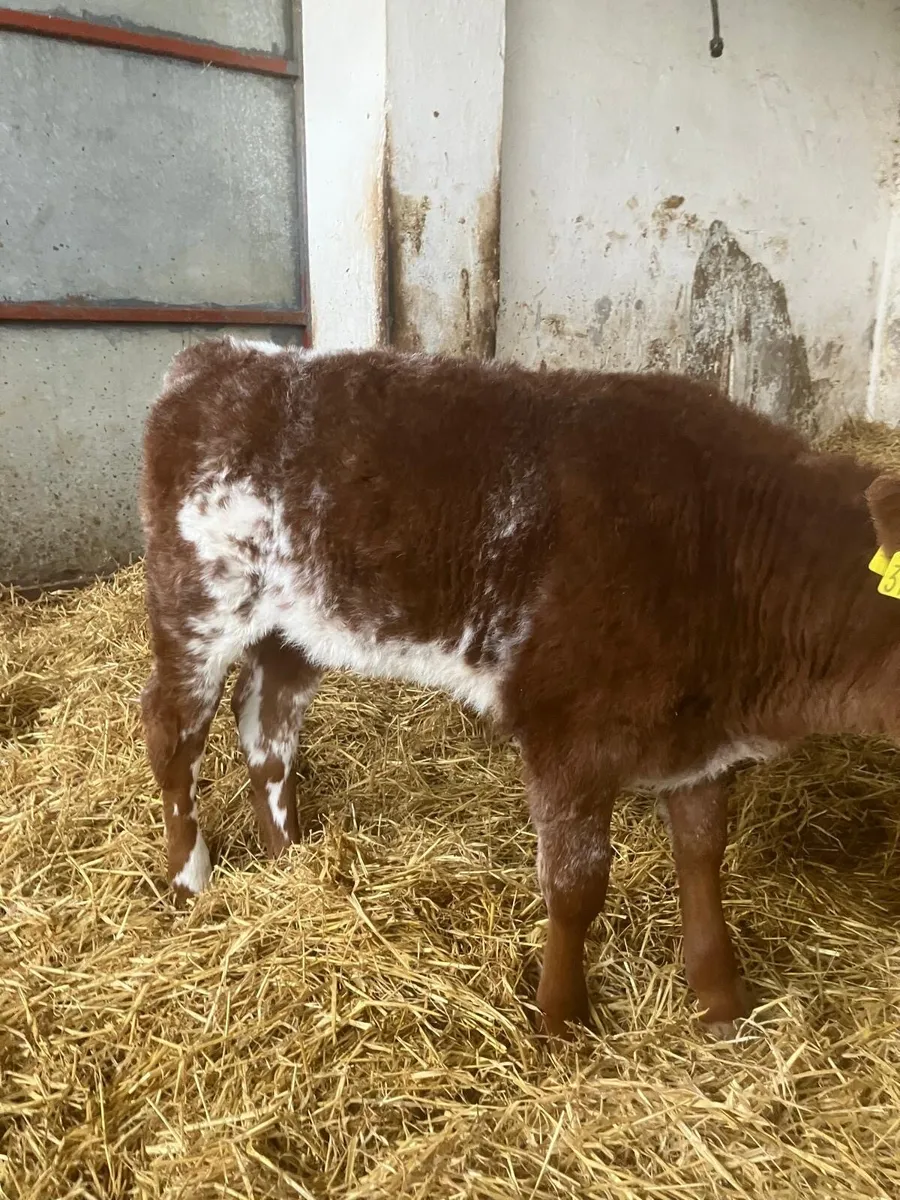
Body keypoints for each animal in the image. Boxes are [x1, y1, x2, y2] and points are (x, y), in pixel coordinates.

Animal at [139, 335, 900, 1038]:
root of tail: (220, 356)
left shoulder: (696, 743)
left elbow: (702, 854)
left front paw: (720, 1002)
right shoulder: (565, 732)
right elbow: (576, 884)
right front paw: (561, 1019)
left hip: (295, 627)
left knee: (266, 724)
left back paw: (290, 860)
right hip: (196, 602)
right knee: (172, 731)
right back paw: (190, 881)